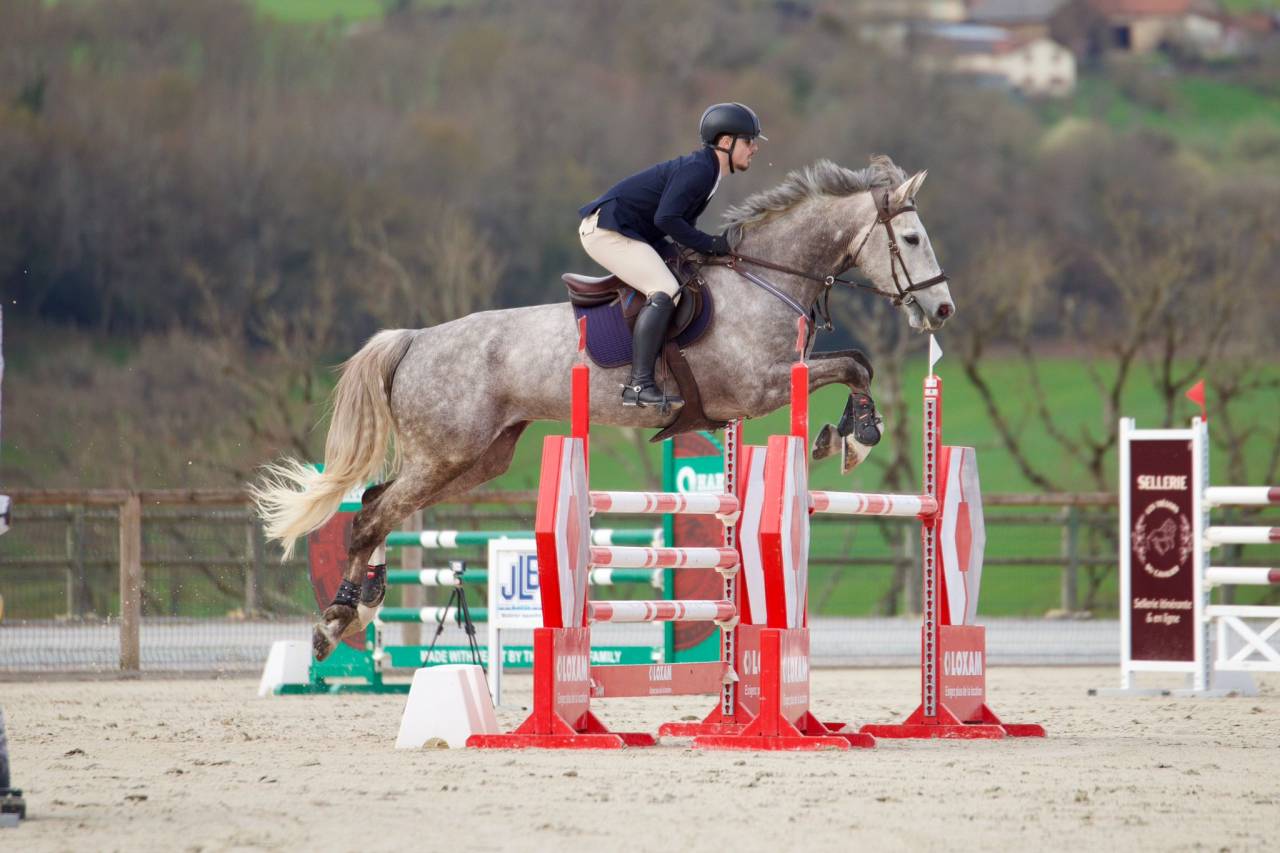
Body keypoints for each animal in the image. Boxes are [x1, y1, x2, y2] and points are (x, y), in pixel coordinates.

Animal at [252, 154, 953, 660]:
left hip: (477, 458)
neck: (767, 276)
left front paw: (848, 432)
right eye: (912, 237)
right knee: (373, 515)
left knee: (377, 503)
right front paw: (857, 436)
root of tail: (416, 340)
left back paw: (361, 603)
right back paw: (337, 619)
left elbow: (856, 362)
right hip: (447, 453)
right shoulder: (761, 387)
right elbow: (854, 365)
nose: (942, 310)